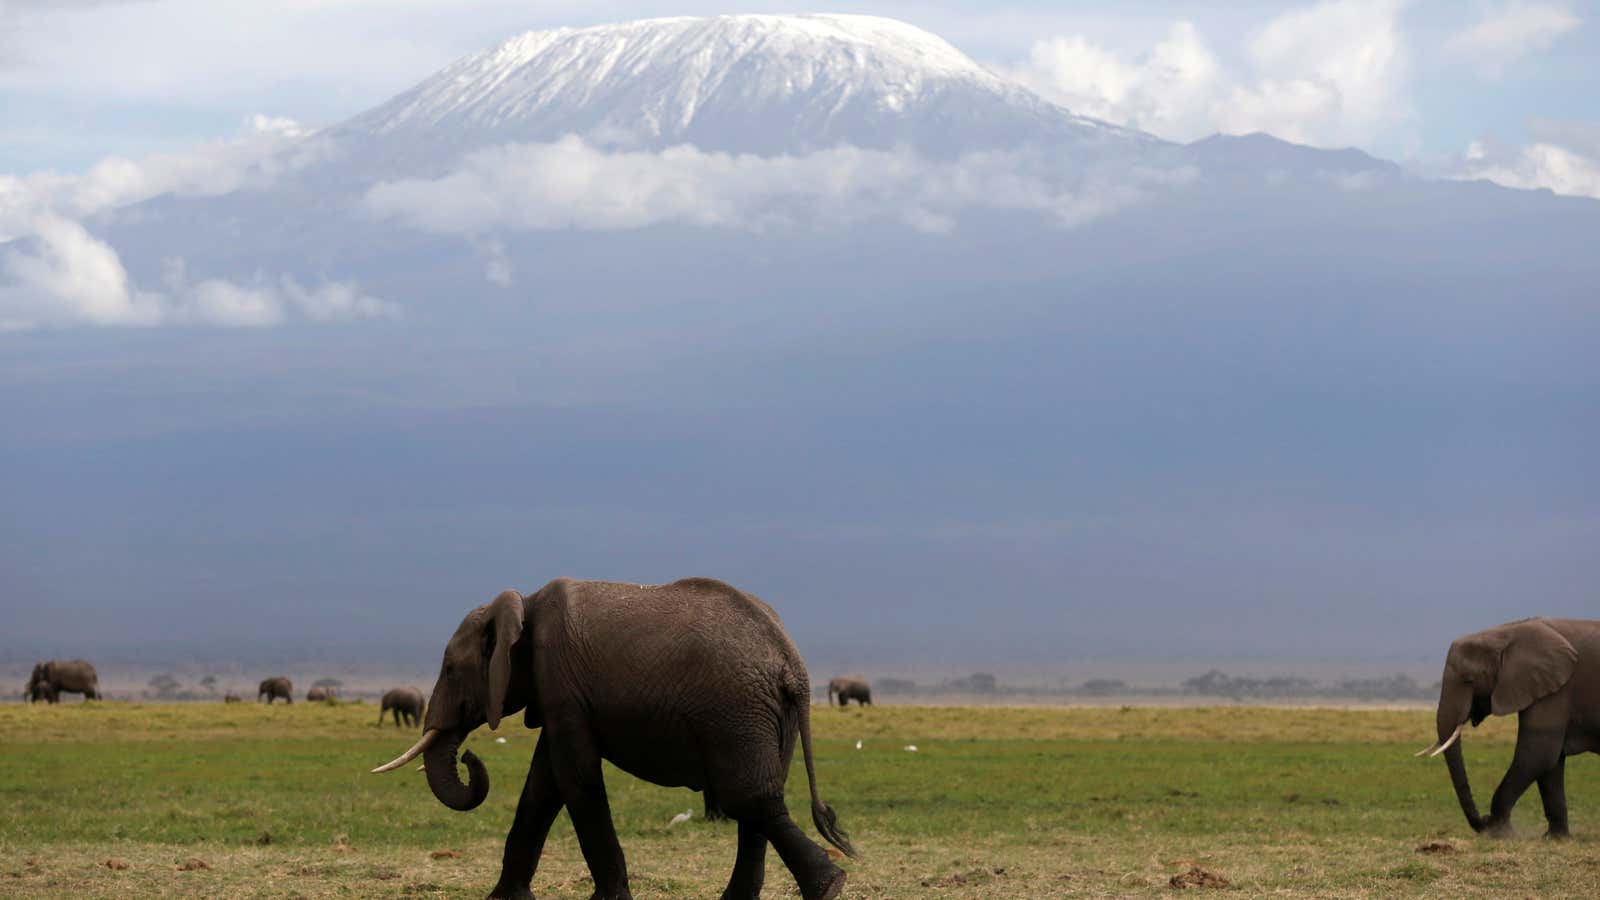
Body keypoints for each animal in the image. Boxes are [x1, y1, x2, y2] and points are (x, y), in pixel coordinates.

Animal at [374, 573, 857, 896]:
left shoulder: (561, 683)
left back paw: (829, 887)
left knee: (749, 798)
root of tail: (791, 659)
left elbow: (575, 778)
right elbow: (542, 786)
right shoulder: (557, 696)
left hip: (737, 710)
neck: (522, 604)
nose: (468, 756)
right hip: (767, 714)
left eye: (451, 670)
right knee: (758, 799)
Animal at [1420, 614, 1593, 832]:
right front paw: (1556, 837)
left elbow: (1537, 754)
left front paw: (1498, 832)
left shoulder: (1558, 690)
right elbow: (1550, 762)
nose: (1483, 820)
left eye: (1469, 680)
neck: (1507, 632)